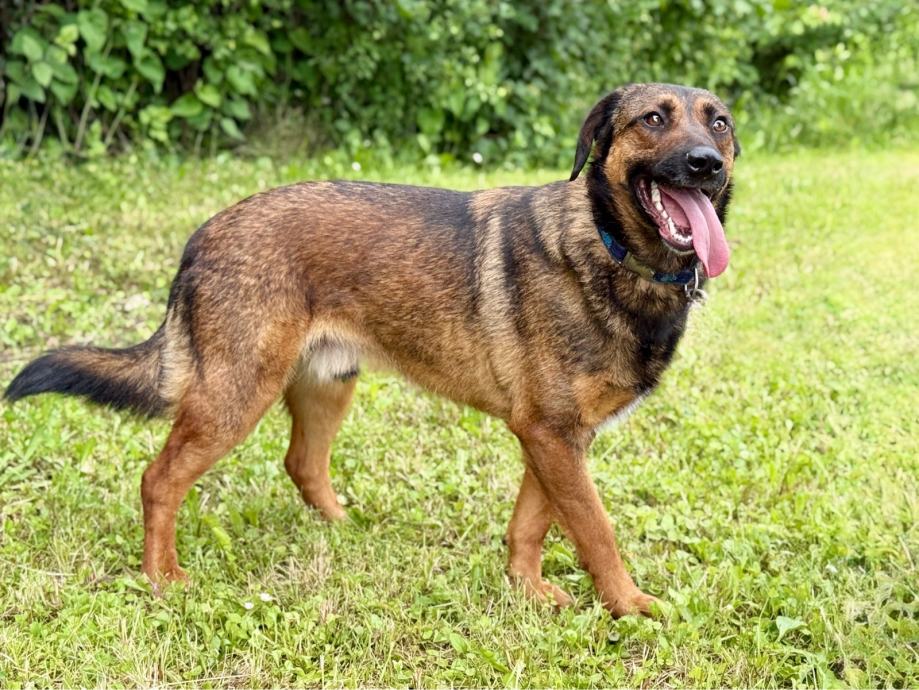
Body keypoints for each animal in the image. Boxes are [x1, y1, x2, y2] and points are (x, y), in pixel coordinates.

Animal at [5, 83, 738, 617]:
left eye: (721, 124)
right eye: (652, 119)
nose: (706, 164)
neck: (610, 250)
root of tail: (203, 234)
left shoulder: (553, 437)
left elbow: (535, 524)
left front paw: (525, 590)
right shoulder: (552, 437)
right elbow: (596, 530)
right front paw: (629, 605)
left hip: (327, 383)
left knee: (301, 463)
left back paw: (344, 525)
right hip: (234, 398)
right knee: (159, 480)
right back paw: (162, 578)